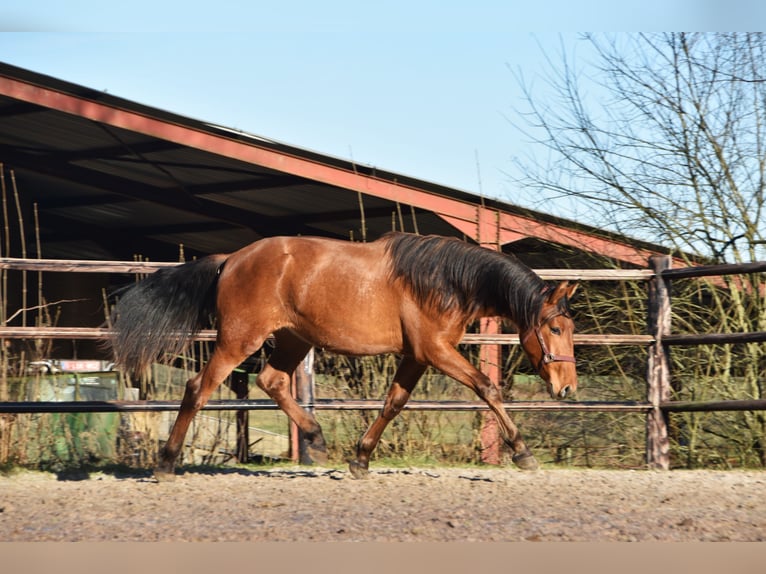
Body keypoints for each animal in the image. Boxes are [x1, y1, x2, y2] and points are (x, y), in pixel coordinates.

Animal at [106, 232, 576, 480]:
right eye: (555, 329)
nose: (567, 388)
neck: (445, 280)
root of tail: (231, 259)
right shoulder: (436, 350)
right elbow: (487, 388)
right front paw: (523, 452)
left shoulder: (416, 356)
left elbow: (393, 403)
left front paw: (360, 458)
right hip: (239, 340)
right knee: (197, 388)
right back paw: (166, 462)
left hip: (294, 340)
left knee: (271, 381)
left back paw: (316, 437)